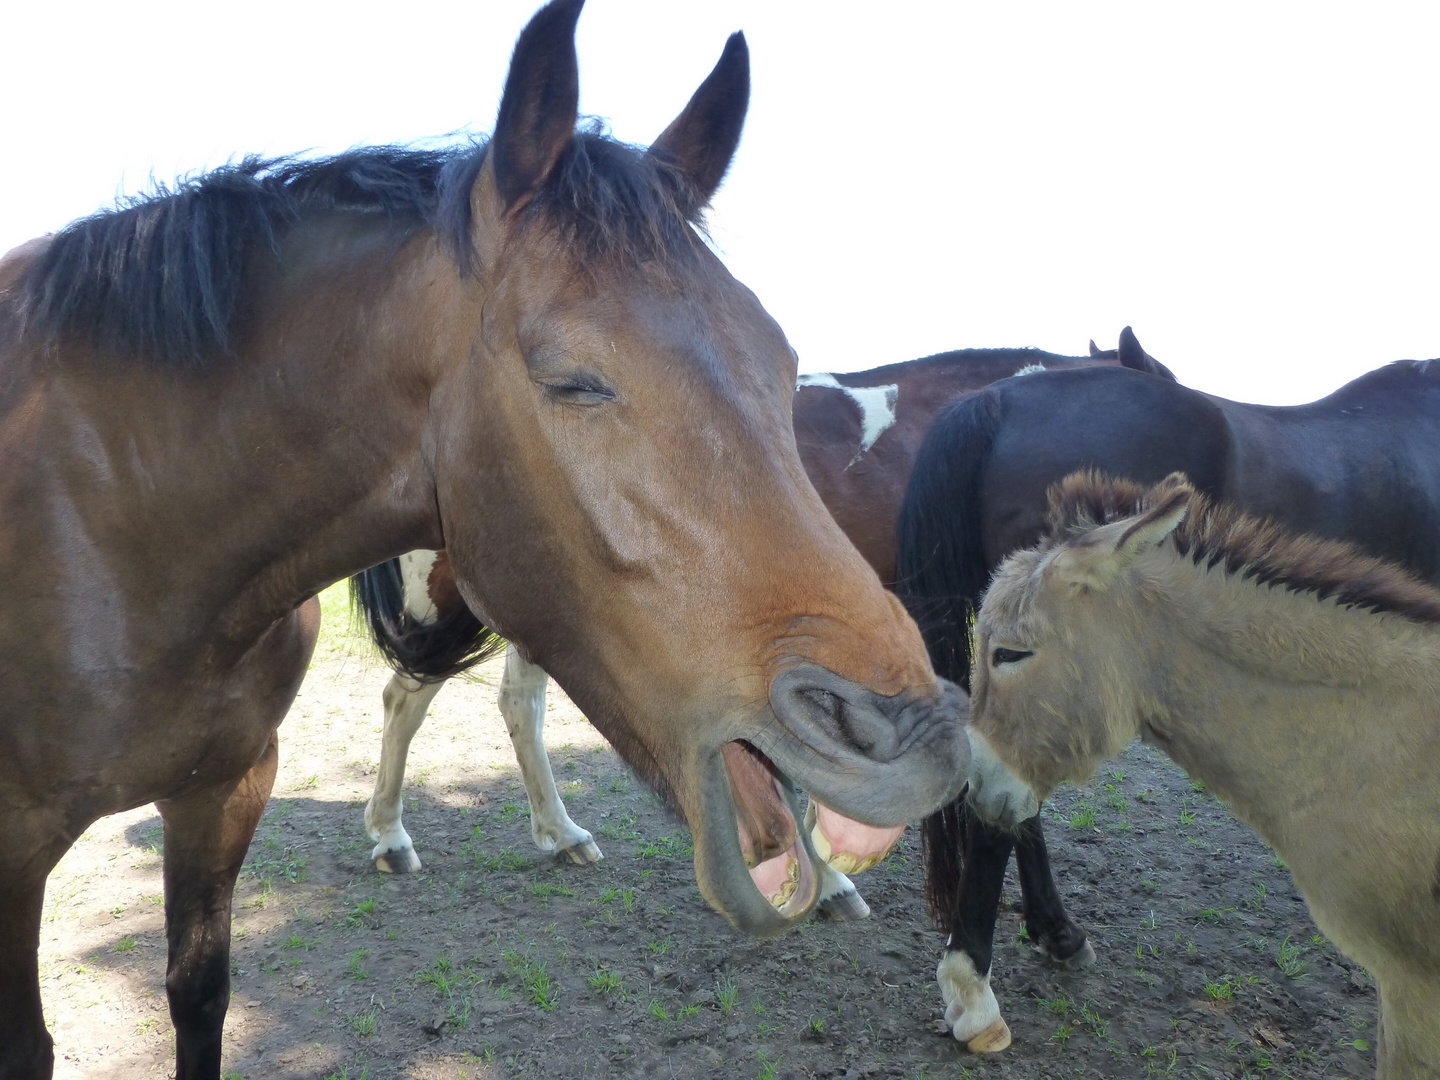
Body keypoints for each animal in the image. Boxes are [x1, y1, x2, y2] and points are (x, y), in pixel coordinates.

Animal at [0, 4, 973, 1077]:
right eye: (572, 380)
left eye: (783, 361)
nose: (912, 735)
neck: (115, 510)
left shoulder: (225, 791)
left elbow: (201, 996)